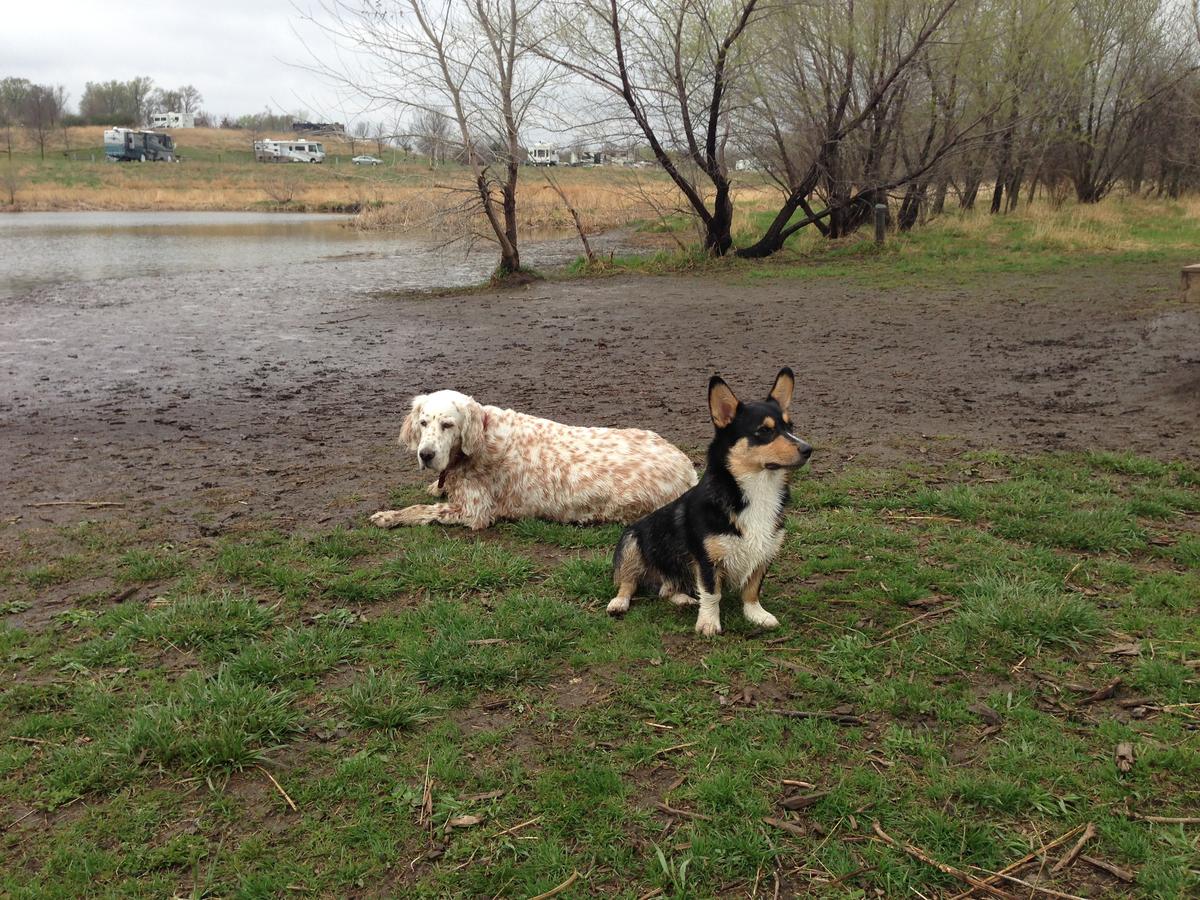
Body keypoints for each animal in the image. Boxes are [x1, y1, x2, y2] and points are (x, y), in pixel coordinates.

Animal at [369, 391, 700, 532]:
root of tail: (689, 470)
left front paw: (389, 516)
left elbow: (421, 510)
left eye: (448, 425)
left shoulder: (475, 512)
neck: (483, 436)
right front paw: (434, 486)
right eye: (423, 423)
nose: (425, 454)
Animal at [604, 369, 811, 638]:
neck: (759, 489)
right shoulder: (706, 561)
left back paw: (682, 599)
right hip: (631, 542)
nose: (808, 449)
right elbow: (712, 593)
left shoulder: (765, 552)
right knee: (628, 582)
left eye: (790, 426)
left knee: (666, 590)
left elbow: (752, 589)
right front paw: (709, 624)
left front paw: (757, 615)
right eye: (765, 431)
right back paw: (619, 603)